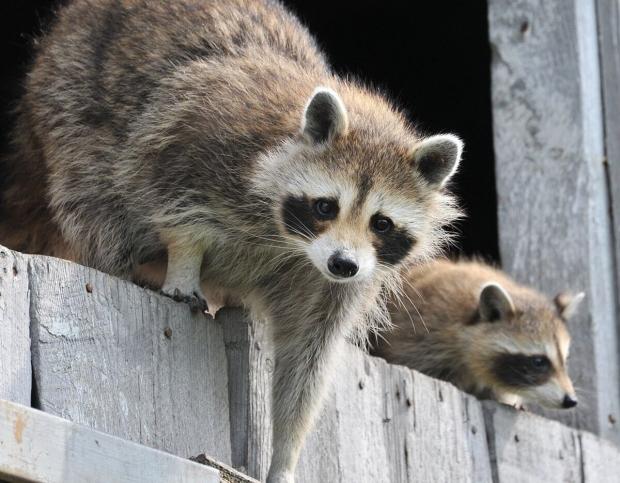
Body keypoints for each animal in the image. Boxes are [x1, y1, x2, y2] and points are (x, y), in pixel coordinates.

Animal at [0, 1, 462, 482]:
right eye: (325, 207)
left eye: (382, 224)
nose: (343, 263)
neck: (290, 241)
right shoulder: (201, 137)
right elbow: (172, 199)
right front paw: (183, 263)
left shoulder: (334, 284)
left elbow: (307, 361)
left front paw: (286, 453)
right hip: (68, 93)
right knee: (93, 194)